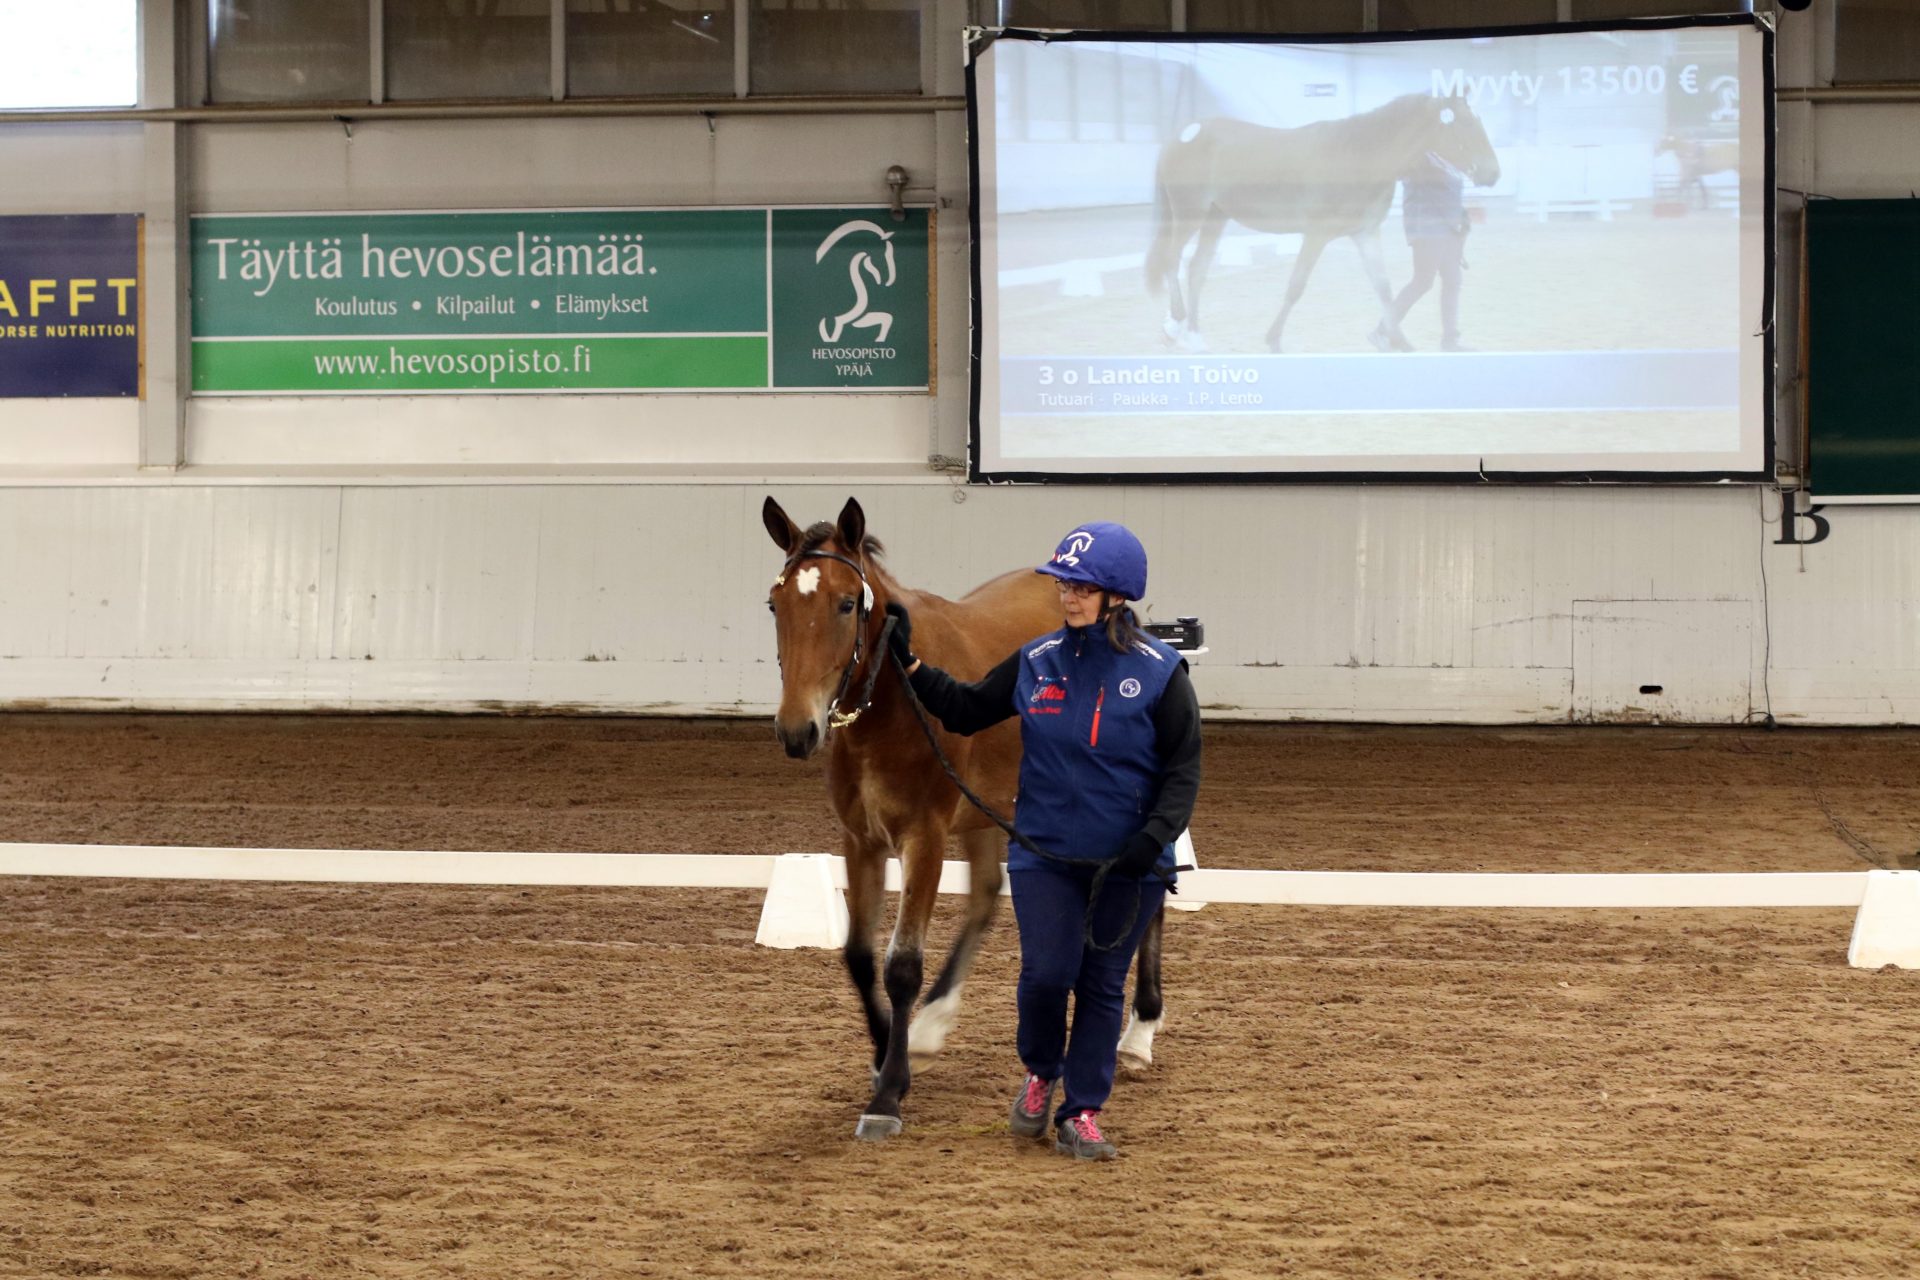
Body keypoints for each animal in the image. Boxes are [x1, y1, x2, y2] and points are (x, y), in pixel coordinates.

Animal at [764, 498, 1167, 1143]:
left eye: (847, 603)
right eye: (776, 604)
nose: (797, 730)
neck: (893, 705)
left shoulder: (923, 837)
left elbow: (902, 965)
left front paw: (888, 1095)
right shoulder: (862, 840)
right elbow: (859, 955)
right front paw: (890, 1054)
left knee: (1147, 898)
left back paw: (1138, 1036)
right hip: (985, 816)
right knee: (985, 895)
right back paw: (930, 1028)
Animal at [1144, 93, 1489, 355]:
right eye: (1467, 124)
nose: (1493, 172)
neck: (1357, 156)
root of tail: (1182, 134)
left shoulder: (1364, 234)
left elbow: (1384, 289)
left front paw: (1399, 341)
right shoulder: (1316, 234)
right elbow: (1296, 286)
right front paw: (1273, 340)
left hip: (1215, 217)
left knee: (1197, 269)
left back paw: (1193, 336)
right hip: (1190, 212)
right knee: (1172, 259)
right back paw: (1176, 323)